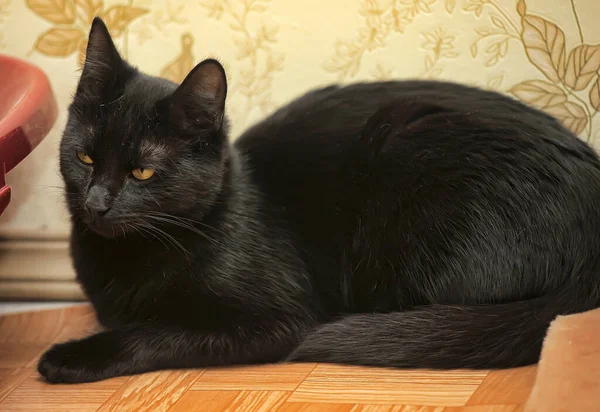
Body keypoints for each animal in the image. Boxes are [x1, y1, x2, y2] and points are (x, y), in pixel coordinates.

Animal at [38, 16, 600, 384]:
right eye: (85, 157)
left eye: (142, 171)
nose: (97, 203)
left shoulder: (277, 319)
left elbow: (156, 332)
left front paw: (70, 357)